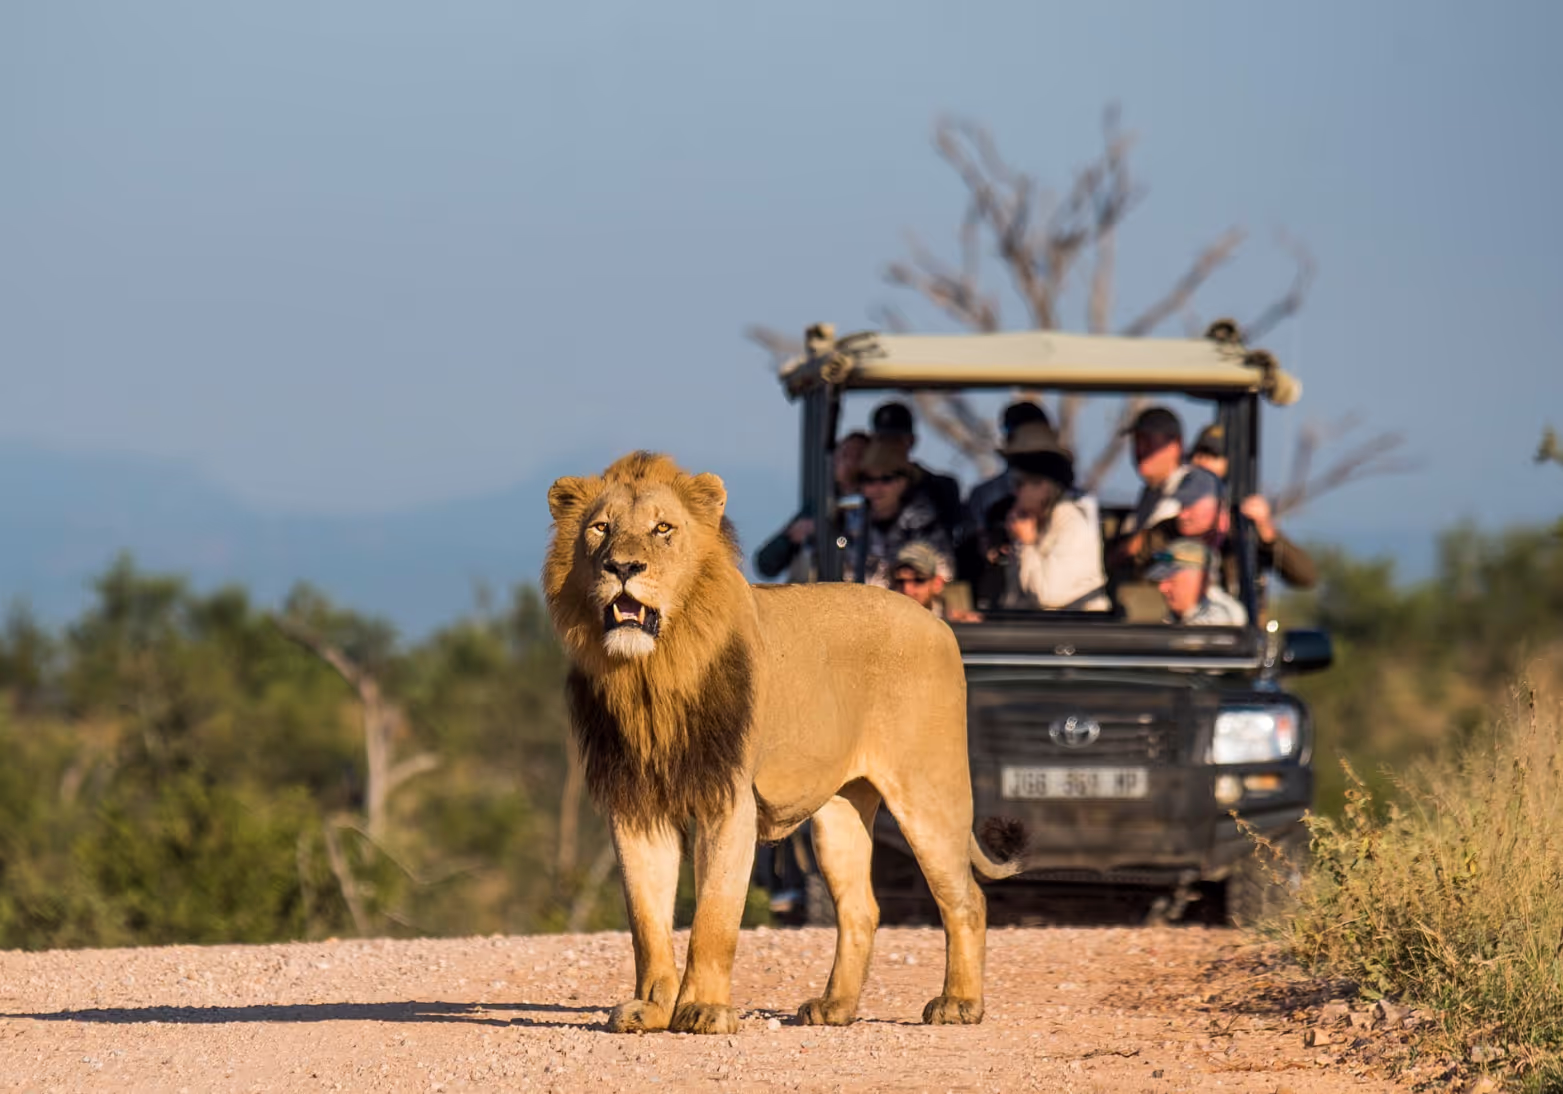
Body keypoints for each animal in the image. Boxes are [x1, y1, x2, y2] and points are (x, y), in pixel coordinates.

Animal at [543, 450, 1019, 1036]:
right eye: (601, 529)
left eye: (663, 529)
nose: (623, 568)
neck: (652, 674)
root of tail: (939, 622)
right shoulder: (636, 806)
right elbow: (647, 921)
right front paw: (651, 1009)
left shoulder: (730, 801)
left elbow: (714, 916)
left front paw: (703, 1009)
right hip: (839, 812)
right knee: (861, 908)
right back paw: (835, 1008)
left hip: (929, 791)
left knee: (966, 898)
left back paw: (959, 1003)